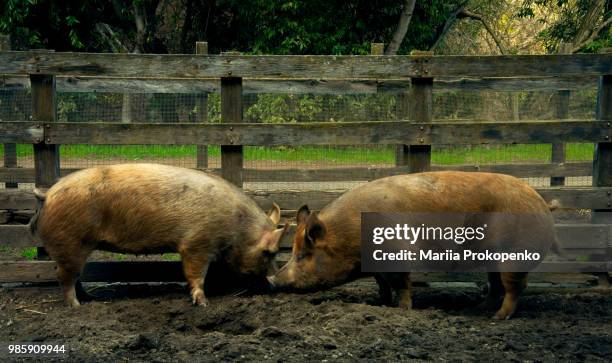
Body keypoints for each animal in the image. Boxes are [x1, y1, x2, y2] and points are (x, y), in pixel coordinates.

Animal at [28, 164, 286, 308]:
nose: (276, 283)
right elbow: (196, 274)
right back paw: (77, 306)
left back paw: (89, 298)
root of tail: (47, 195)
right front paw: (203, 303)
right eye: (269, 252)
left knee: (75, 276)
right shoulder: (196, 244)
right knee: (65, 277)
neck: (237, 227)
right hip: (70, 242)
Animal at [268, 172, 560, 320]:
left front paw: (402, 309)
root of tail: (542, 204)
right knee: (496, 285)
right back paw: (478, 309)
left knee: (514, 286)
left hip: (514, 255)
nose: (272, 280)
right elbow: (382, 285)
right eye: (293, 252)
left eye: (303, 254)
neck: (349, 237)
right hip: (492, 258)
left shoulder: (397, 253)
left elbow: (401, 284)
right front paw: (381, 304)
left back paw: (498, 318)